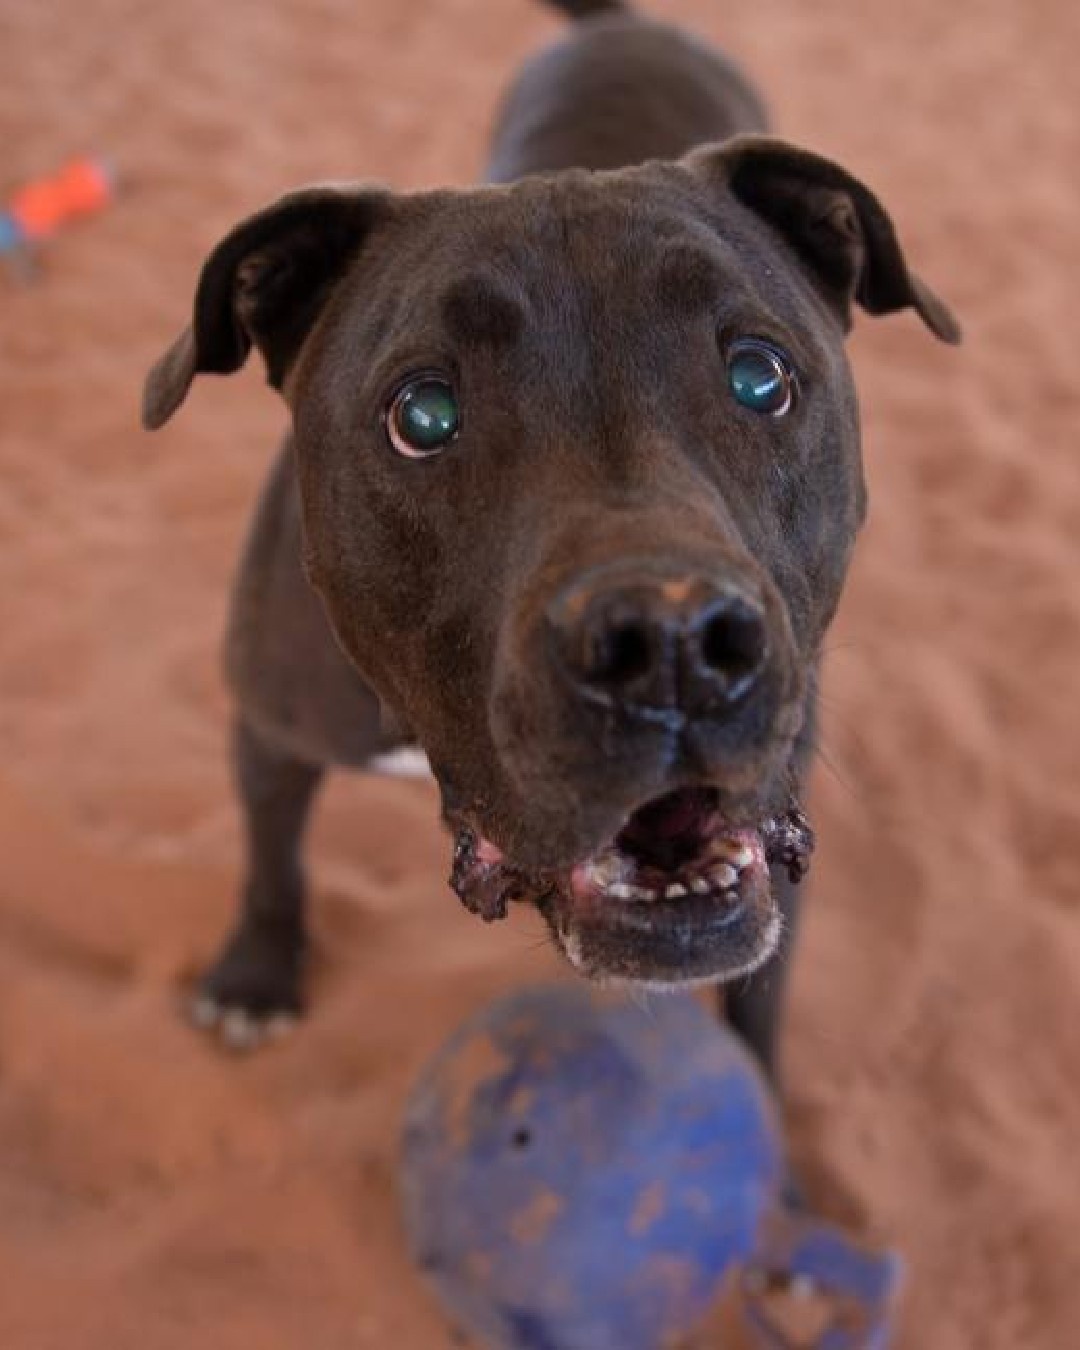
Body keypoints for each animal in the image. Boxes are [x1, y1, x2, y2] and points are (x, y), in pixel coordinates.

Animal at [143, 2, 961, 1074]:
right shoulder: (271, 727)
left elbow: (763, 993)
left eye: (760, 376)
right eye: (425, 415)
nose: (670, 645)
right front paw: (254, 972)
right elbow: (271, 859)